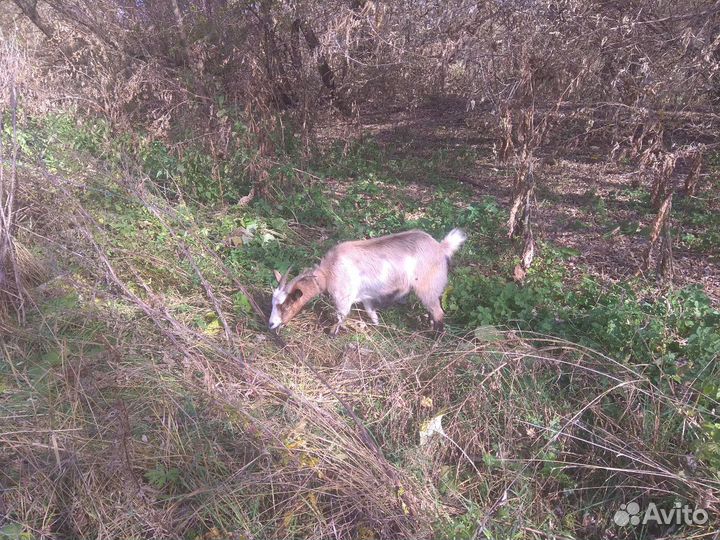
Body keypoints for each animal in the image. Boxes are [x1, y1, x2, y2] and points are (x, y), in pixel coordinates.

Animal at [269, 228, 466, 333]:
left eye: (286, 304)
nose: (271, 324)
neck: (328, 272)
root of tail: (441, 248)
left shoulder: (343, 298)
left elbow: (341, 316)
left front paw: (332, 333)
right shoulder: (366, 297)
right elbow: (371, 312)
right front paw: (376, 325)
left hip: (427, 287)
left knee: (439, 313)